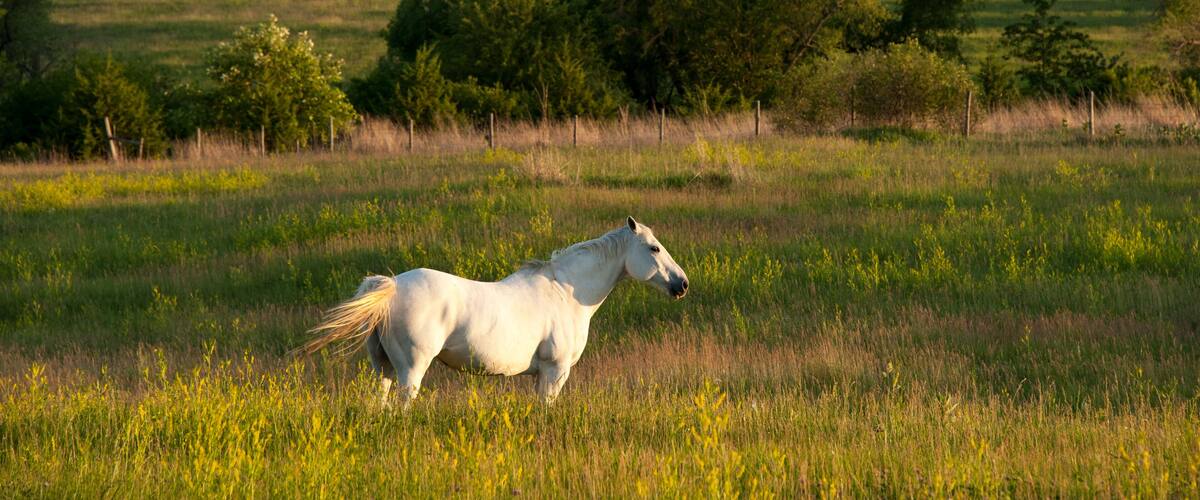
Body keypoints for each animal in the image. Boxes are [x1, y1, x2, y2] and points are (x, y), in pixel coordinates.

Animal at [300, 216, 689, 407]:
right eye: (654, 248)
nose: (682, 284)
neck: (566, 292)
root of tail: (390, 286)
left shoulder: (539, 376)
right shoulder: (555, 372)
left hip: (382, 367)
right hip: (411, 369)